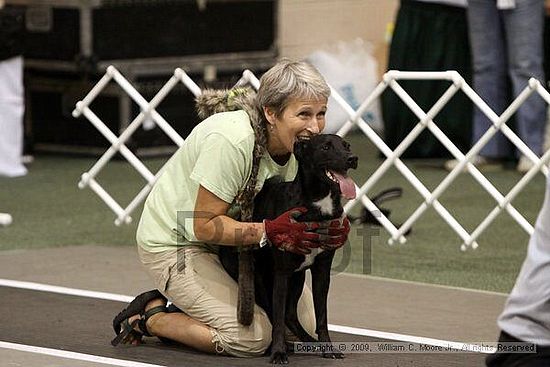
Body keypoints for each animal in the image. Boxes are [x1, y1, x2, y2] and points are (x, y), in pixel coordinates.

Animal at [222, 135, 360, 366]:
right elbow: (277, 319)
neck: (317, 202)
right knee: (273, 313)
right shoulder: (282, 273)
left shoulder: (322, 272)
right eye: (325, 147)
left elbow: (322, 316)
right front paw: (278, 352)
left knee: (290, 315)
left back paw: (309, 342)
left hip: (297, 278)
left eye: (347, 146)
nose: (352, 158)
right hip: (258, 280)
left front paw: (327, 348)